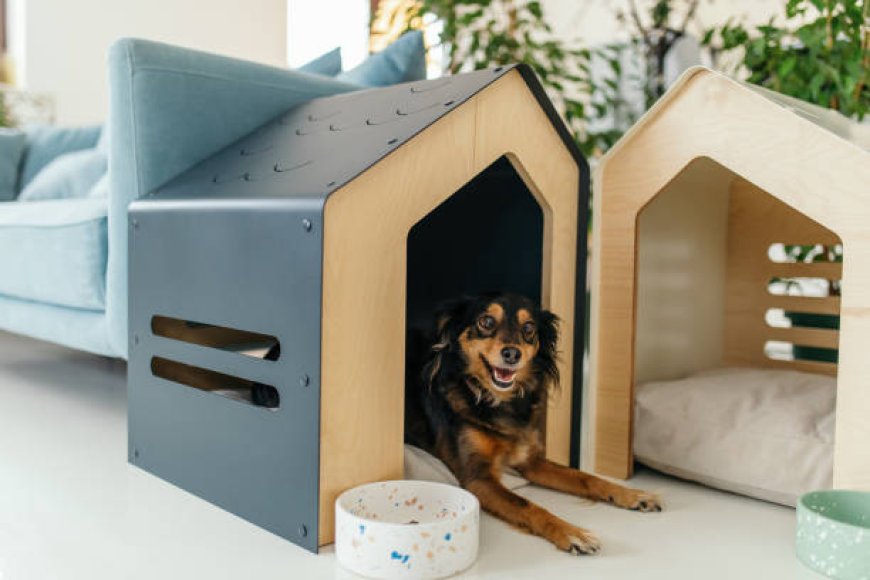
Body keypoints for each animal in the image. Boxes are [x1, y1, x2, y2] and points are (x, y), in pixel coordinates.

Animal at [406, 292, 664, 556]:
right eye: (486, 322)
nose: (512, 354)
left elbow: (585, 477)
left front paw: (631, 494)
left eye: (529, 327)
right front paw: (571, 532)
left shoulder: (530, 461)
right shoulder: (477, 477)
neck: (498, 401)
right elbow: (525, 504)